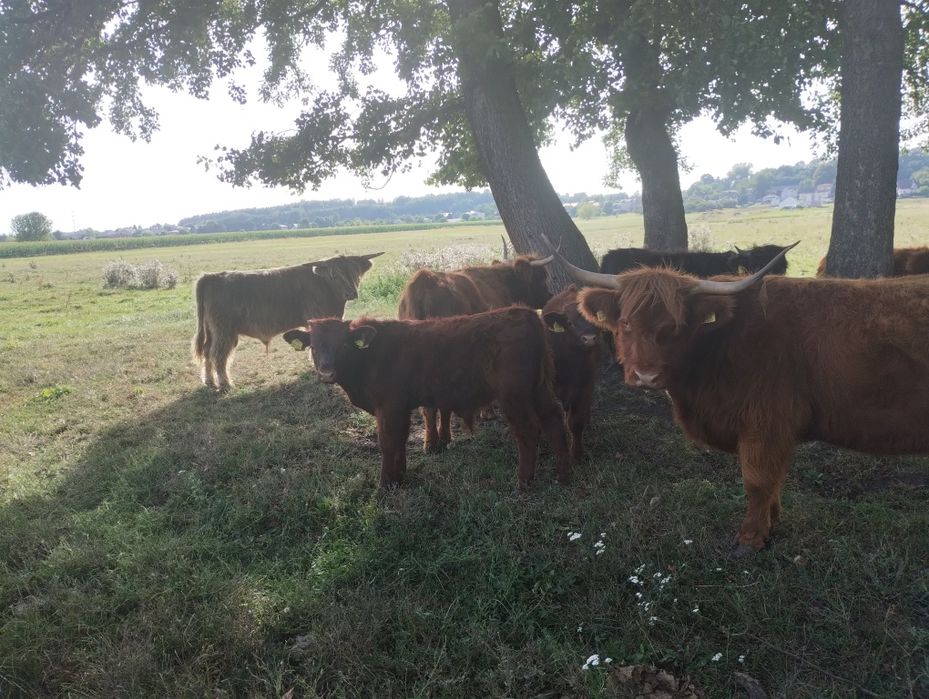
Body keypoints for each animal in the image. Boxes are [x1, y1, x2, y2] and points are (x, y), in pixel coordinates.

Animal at [192, 253, 382, 390]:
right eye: (334, 275)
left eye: (355, 272)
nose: (352, 293)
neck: (327, 288)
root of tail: (211, 277)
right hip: (224, 330)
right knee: (218, 354)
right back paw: (225, 383)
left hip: (212, 330)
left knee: (207, 351)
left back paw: (209, 381)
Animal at [283, 307, 571, 489]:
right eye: (314, 346)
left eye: (343, 345)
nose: (326, 372)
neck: (370, 356)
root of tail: (523, 312)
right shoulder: (400, 408)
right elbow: (399, 440)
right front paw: (399, 477)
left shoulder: (388, 407)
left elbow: (387, 442)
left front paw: (384, 485)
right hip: (539, 389)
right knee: (555, 420)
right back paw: (562, 475)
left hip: (514, 396)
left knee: (528, 430)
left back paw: (523, 482)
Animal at [397, 255, 552, 452]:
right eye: (540, 278)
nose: (550, 296)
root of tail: (425, 280)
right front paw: (487, 412)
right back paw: (444, 438)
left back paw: (430, 443)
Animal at [541, 285, 603, 460]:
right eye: (569, 323)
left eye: (592, 319)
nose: (589, 338)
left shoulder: (585, 385)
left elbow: (576, 422)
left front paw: (577, 454)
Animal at [552, 243, 929, 555]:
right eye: (627, 323)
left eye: (675, 326)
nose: (645, 376)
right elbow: (773, 482)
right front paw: (771, 524)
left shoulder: (765, 425)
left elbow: (757, 482)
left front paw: (750, 539)